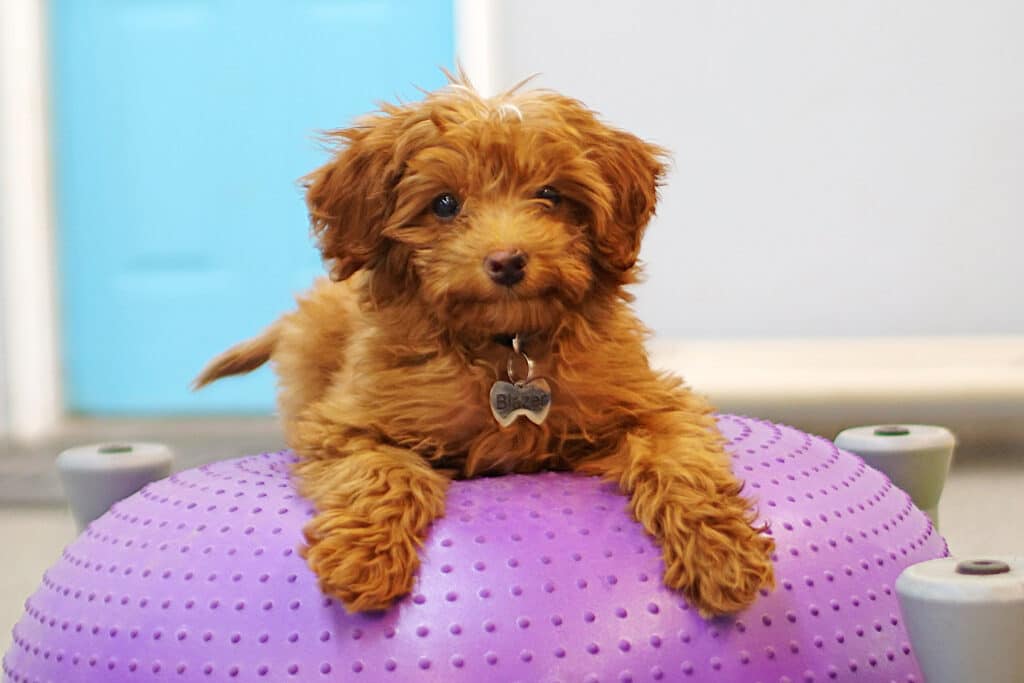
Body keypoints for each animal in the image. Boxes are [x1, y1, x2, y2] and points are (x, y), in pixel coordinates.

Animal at [195, 74, 770, 618]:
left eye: (549, 195)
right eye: (445, 204)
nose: (507, 261)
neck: (507, 347)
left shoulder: (653, 403)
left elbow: (682, 461)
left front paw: (722, 554)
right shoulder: (342, 425)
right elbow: (385, 472)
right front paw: (364, 559)